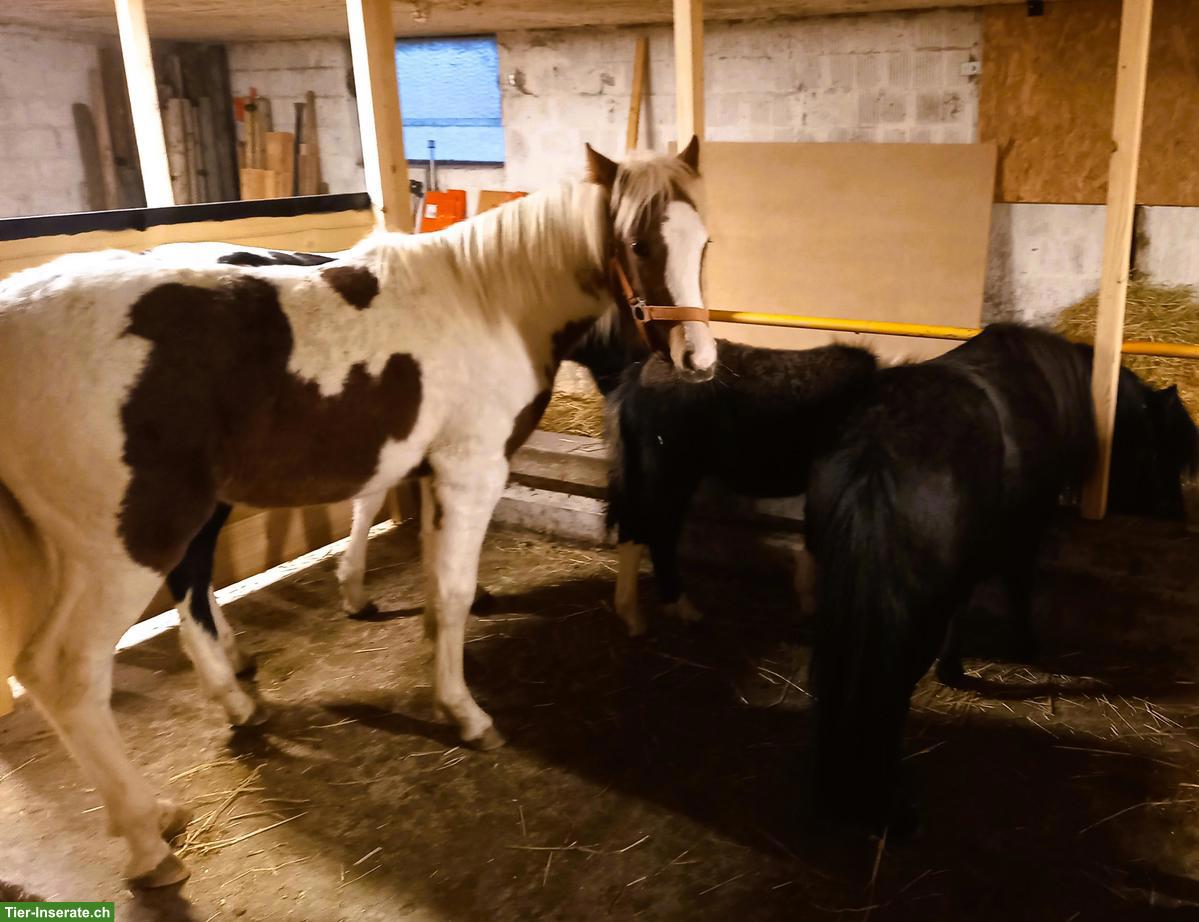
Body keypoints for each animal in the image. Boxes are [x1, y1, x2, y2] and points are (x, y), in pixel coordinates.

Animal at [0, 140, 716, 887]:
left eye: (704, 241)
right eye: (636, 243)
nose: (697, 360)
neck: (490, 302)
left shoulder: (431, 473)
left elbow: (433, 579)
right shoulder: (471, 474)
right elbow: (453, 591)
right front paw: (464, 712)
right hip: (128, 546)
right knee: (69, 672)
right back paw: (149, 835)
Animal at [805, 323, 1198, 834]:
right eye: (1158, 449)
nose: (1175, 511)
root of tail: (876, 456)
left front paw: (953, 669)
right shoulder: (1024, 531)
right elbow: (1018, 585)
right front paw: (1023, 648)